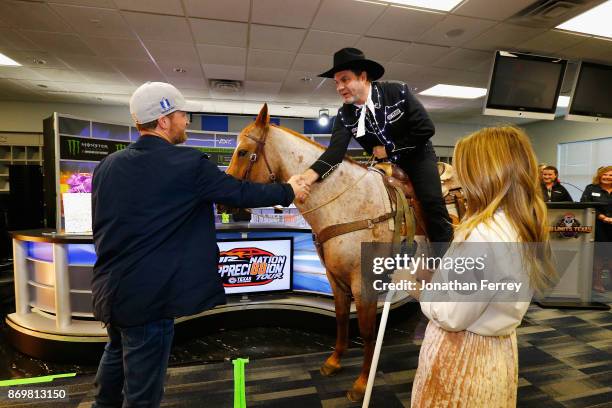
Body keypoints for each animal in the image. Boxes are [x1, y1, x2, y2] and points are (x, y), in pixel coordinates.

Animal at [225, 103, 440, 400]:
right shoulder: (335, 279)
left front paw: (361, 383)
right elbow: (341, 319)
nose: (223, 202)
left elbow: (367, 331)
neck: (348, 206)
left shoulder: (364, 284)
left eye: (244, 152)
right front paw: (334, 361)